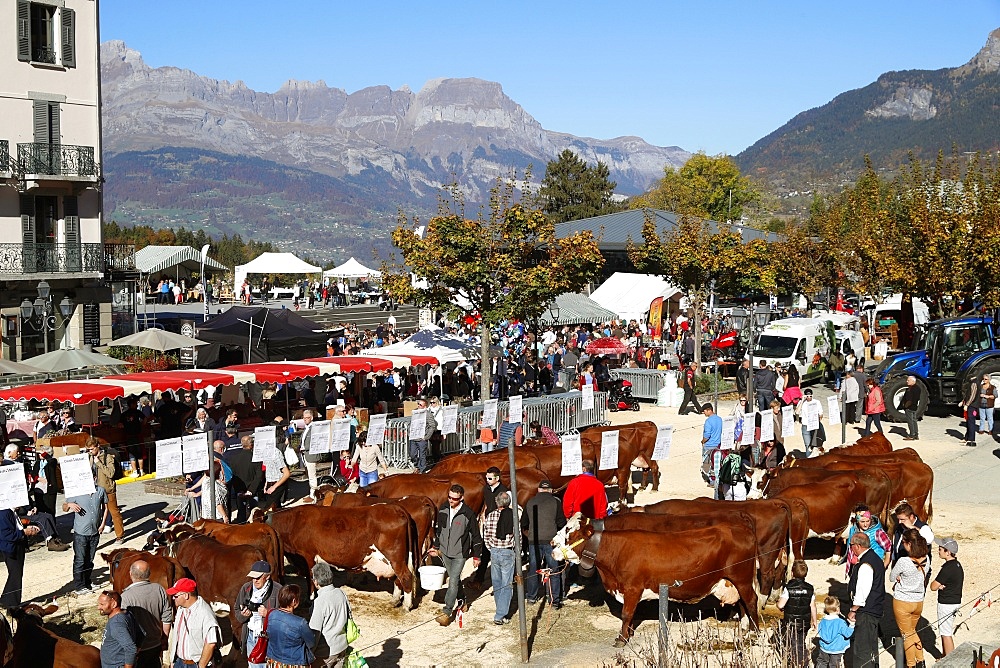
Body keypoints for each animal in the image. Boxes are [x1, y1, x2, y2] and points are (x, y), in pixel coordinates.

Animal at [258, 506, 418, 612]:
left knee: (406, 576)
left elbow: (310, 579)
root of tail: (396, 508)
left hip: (395, 557)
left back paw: (406, 606)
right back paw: (395, 600)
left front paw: (309, 600)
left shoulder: (307, 557)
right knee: (398, 579)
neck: (294, 522)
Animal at [556, 516, 756, 644]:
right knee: (742, 603)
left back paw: (754, 633)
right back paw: (744, 629)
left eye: (569, 534)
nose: (551, 546)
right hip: (736, 581)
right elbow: (631, 614)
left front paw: (621, 639)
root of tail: (741, 527)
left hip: (742, 579)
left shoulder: (632, 588)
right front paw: (628, 635)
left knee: (751, 601)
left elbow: (626, 614)